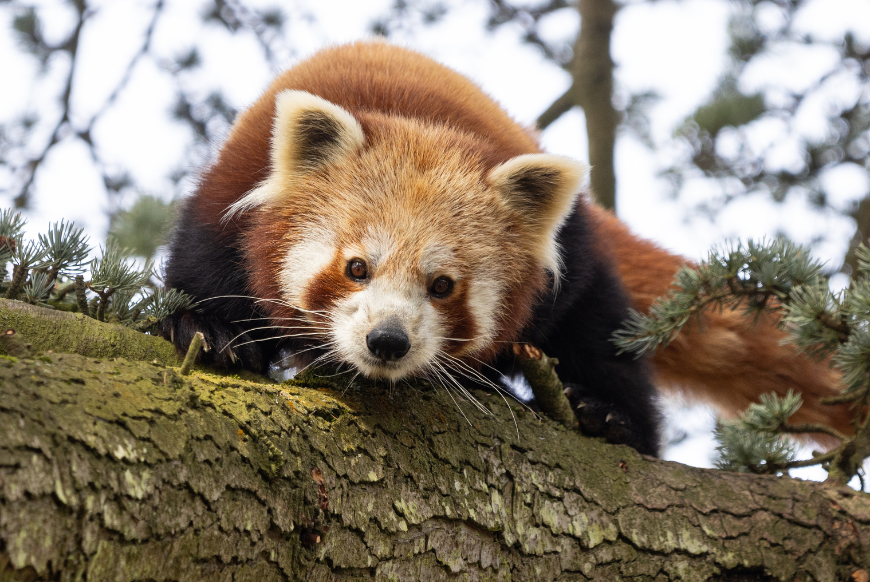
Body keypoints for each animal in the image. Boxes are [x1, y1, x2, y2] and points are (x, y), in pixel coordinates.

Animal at [162, 43, 852, 458]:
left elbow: (594, 327)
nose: (388, 342)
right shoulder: (228, 192)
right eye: (356, 268)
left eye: (443, 285)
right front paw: (211, 331)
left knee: (602, 333)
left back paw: (608, 417)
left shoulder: (563, 271)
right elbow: (202, 270)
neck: (415, 119)